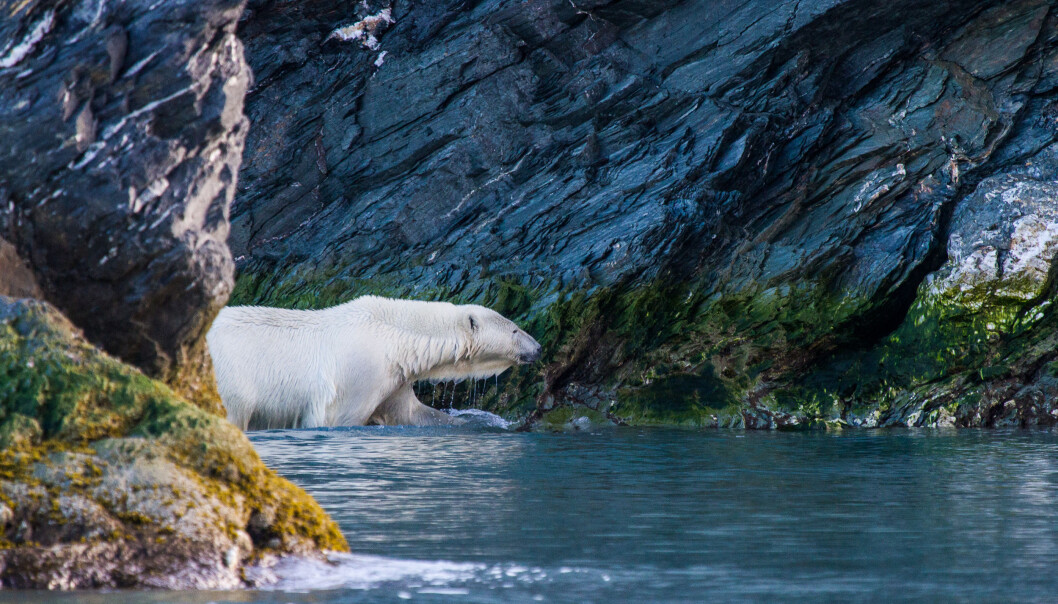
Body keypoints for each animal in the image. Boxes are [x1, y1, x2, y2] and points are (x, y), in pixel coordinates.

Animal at [205, 296, 542, 430]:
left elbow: (411, 413)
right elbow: (339, 418)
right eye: (514, 329)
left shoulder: (394, 378)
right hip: (231, 382)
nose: (538, 348)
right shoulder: (361, 373)